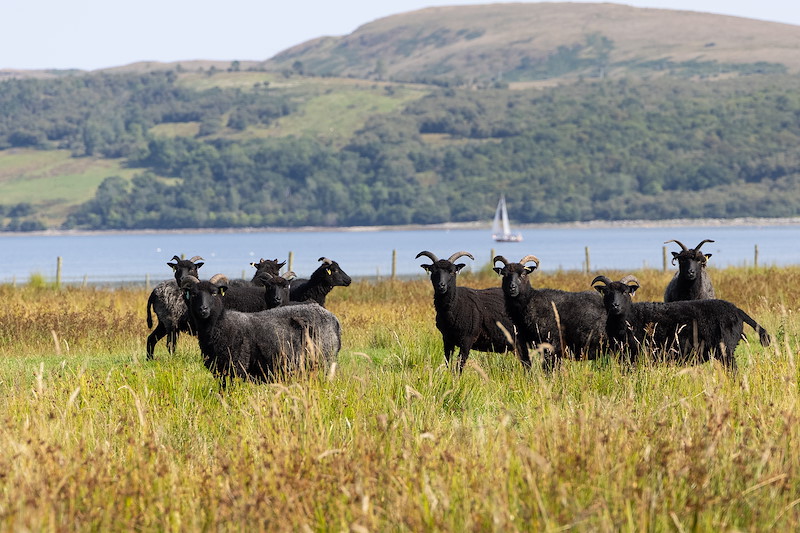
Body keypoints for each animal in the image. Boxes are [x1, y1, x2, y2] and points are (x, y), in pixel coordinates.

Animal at [181, 276, 341, 382]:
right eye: (193, 294)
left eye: (214, 293)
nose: (203, 309)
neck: (220, 324)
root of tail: (334, 320)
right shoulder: (219, 371)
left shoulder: (236, 369)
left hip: (323, 360)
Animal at [592, 275, 770, 371]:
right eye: (606, 292)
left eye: (625, 292)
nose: (615, 305)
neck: (631, 317)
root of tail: (736, 310)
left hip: (726, 349)